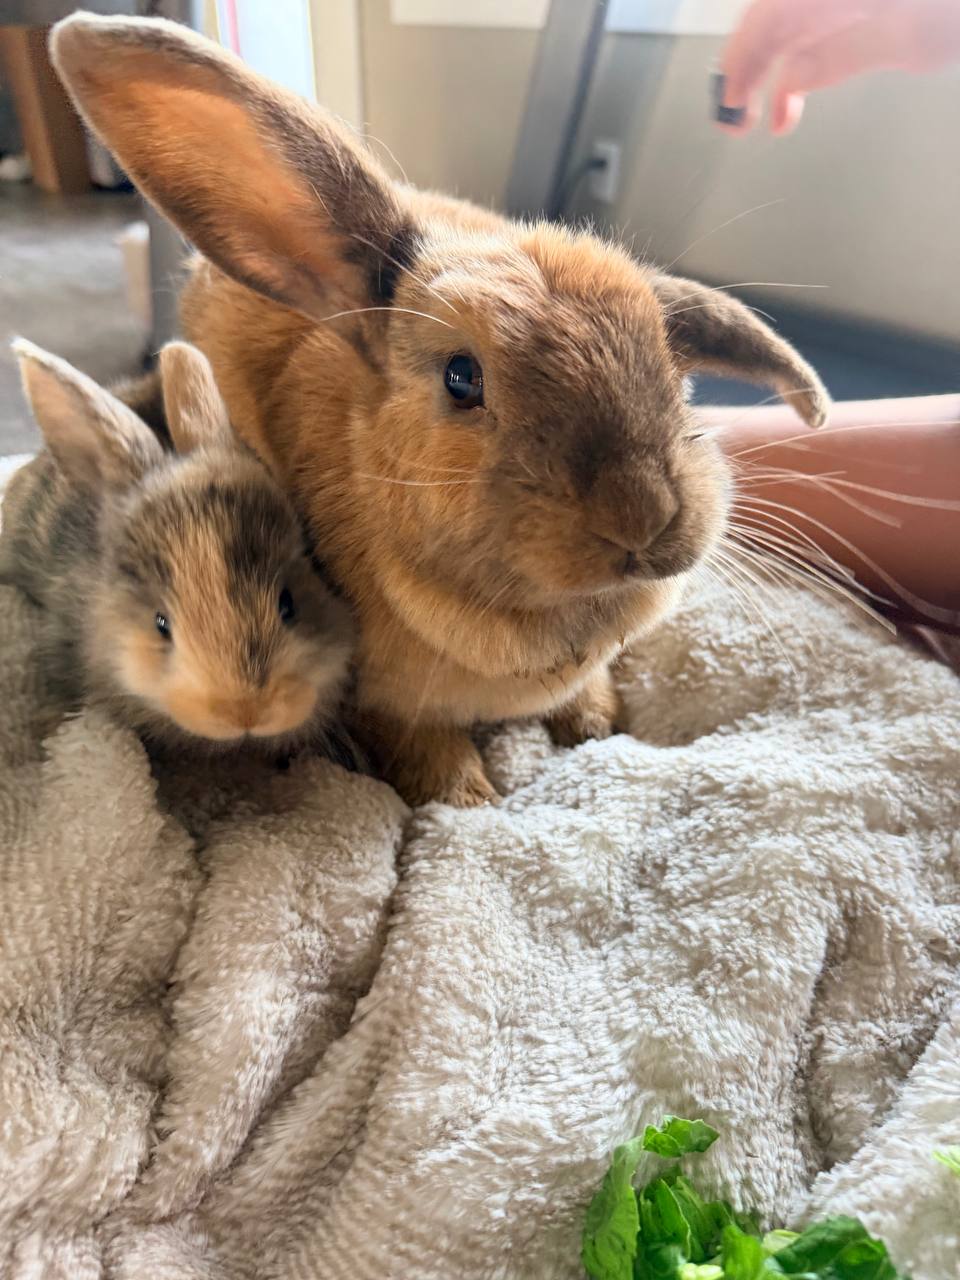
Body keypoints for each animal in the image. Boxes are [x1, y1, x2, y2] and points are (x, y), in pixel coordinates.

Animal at [51, 15, 830, 806]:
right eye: (462, 378)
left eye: (674, 371)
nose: (643, 514)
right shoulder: (384, 701)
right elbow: (427, 750)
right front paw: (468, 797)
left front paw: (595, 723)